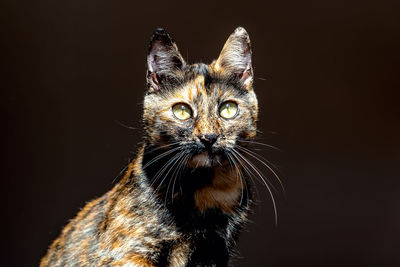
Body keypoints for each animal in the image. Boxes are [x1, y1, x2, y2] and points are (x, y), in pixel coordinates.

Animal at [41, 27, 262, 267]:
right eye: (182, 111)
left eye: (227, 109)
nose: (208, 137)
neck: (205, 190)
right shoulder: (129, 254)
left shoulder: (214, 253)